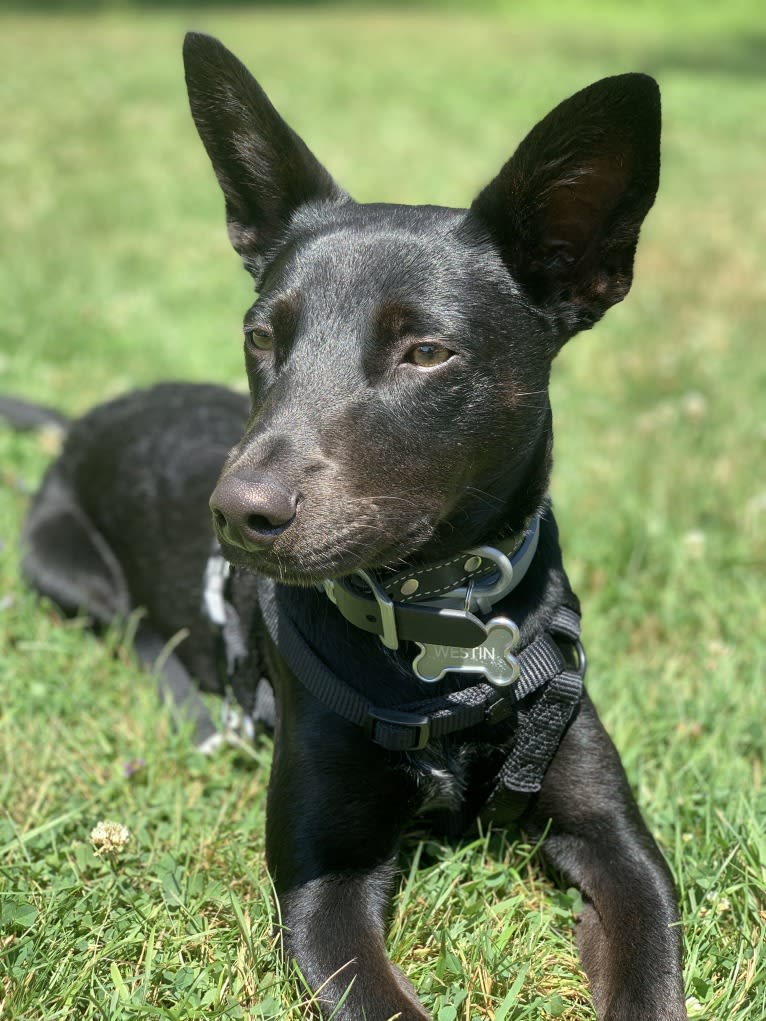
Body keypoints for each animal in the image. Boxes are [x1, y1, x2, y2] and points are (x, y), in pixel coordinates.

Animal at [3, 33, 690, 1021]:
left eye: (426, 351)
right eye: (261, 336)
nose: (236, 513)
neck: (441, 642)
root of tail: (89, 416)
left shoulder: (619, 842)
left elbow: (649, 969)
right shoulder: (323, 881)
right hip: (63, 564)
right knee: (139, 634)